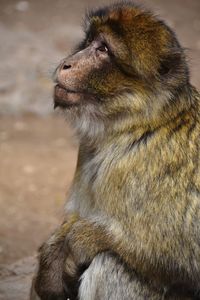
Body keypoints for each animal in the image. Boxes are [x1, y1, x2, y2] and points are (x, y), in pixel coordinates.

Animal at [29, 1, 200, 298]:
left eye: (104, 50)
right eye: (89, 41)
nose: (67, 63)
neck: (135, 125)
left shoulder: (138, 165)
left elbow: (182, 258)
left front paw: (81, 239)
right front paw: (54, 252)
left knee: (109, 265)